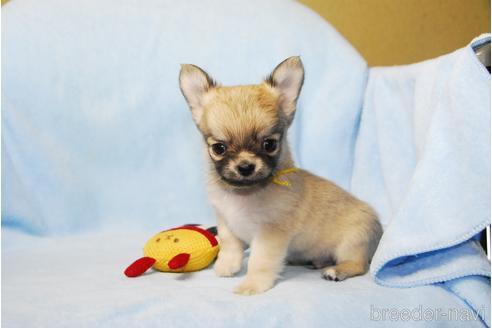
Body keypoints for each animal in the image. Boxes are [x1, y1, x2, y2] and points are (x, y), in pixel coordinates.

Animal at [179, 55, 382, 294]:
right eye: (219, 148)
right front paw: (227, 266)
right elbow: (230, 246)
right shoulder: (226, 223)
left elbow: (259, 261)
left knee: (359, 264)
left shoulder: (270, 234)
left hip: (351, 242)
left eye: (269, 144)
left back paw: (336, 270)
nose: (245, 167)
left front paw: (252, 284)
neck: (243, 194)